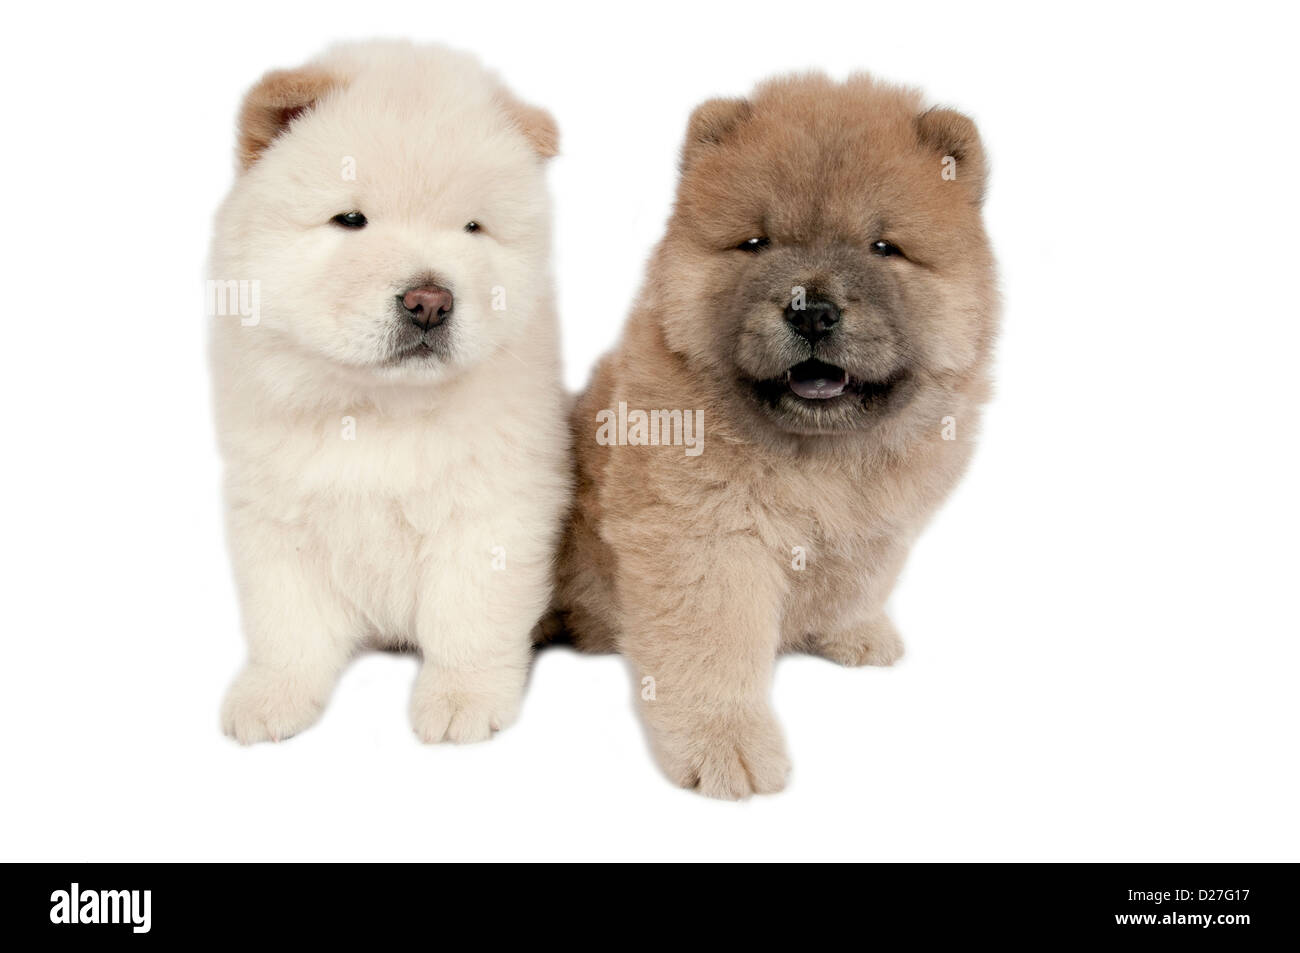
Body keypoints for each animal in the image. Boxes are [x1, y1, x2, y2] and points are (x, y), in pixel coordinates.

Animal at [208, 42, 569, 743]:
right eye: (351, 220)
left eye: (473, 227)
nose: (430, 301)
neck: (378, 408)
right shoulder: (275, 509)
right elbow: (286, 623)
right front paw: (270, 698)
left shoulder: (493, 507)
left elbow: (469, 617)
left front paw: (460, 701)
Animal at [553, 74, 998, 800]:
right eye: (756, 243)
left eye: (884, 248)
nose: (811, 308)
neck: (817, 458)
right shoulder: (705, 537)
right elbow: (712, 651)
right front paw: (727, 746)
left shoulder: (880, 523)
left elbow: (860, 576)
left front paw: (854, 632)